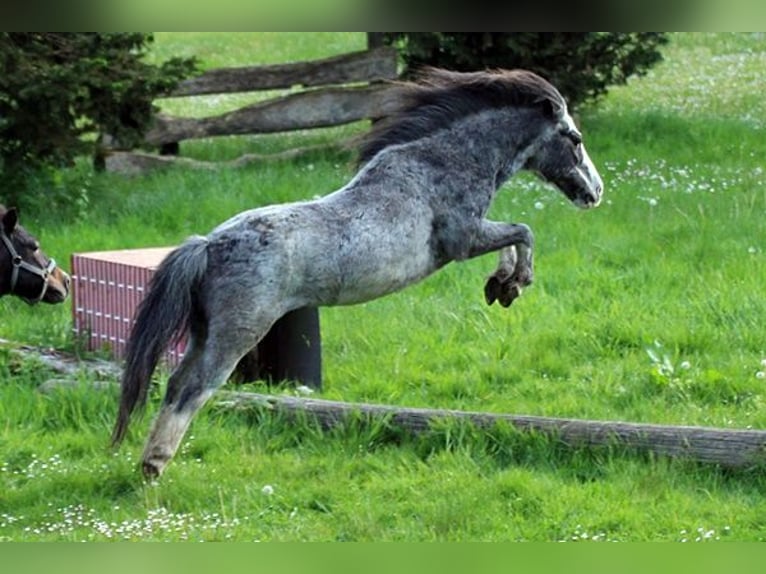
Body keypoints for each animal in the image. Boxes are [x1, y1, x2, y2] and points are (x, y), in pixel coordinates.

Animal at [112, 67, 608, 480]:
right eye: (575, 137)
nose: (595, 192)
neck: (442, 162)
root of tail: (209, 246)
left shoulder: (472, 237)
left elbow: (515, 236)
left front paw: (499, 286)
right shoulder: (463, 239)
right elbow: (523, 231)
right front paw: (512, 285)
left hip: (203, 332)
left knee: (175, 383)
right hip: (237, 335)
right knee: (194, 388)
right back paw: (154, 467)